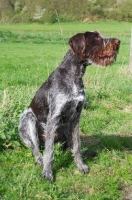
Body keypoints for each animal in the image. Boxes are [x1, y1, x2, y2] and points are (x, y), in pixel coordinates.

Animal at [18, 30, 120, 180]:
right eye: (96, 37)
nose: (118, 41)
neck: (74, 77)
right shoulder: (53, 117)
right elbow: (49, 151)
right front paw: (47, 172)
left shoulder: (76, 117)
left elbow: (77, 145)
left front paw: (81, 165)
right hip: (28, 118)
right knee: (35, 147)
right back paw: (40, 160)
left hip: (65, 126)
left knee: (67, 147)